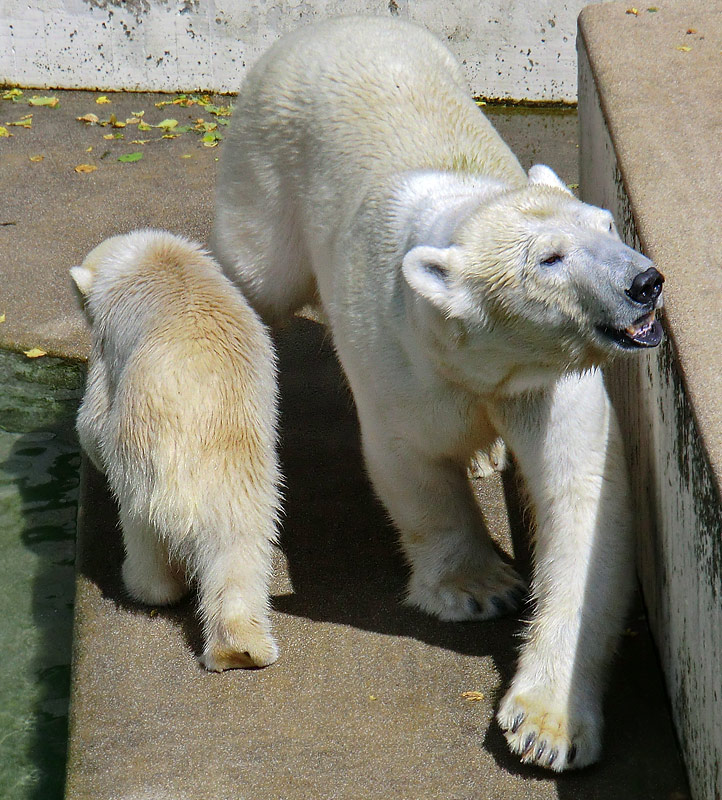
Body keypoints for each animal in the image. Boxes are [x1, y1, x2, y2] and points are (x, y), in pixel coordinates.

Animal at [210, 17, 664, 768]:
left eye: (606, 224)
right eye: (549, 258)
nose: (645, 282)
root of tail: (332, 24)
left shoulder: (548, 379)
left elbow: (582, 497)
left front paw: (546, 727)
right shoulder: (404, 357)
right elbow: (413, 461)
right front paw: (478, 588)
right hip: (267, 164)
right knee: (256, 272)